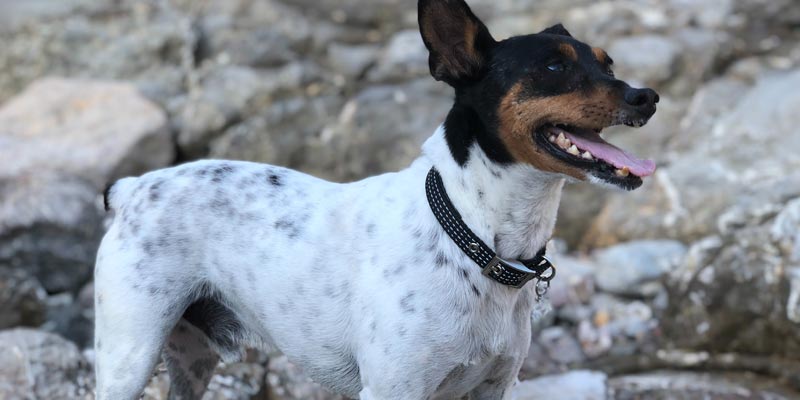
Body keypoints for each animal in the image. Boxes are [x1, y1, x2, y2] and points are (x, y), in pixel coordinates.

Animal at [92, 1, 656, 398]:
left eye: (609, 64)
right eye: (554, 68)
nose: (646, 96)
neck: (474, 235)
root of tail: (132, 187)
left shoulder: (491, 388)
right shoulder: (393, 389)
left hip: (190, 358)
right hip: (128, 356)